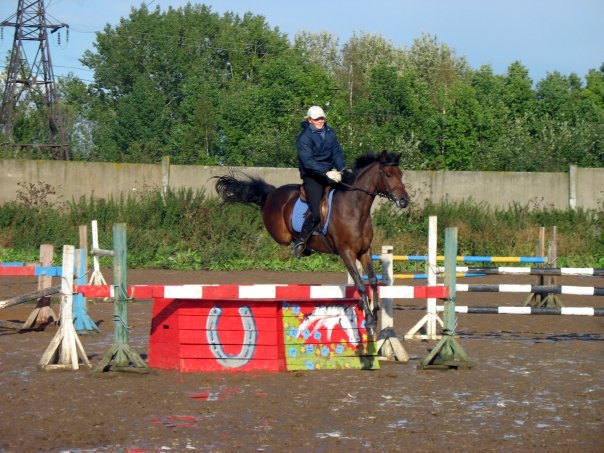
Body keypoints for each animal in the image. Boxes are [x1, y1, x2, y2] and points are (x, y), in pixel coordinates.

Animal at [214, 150, 410, 330]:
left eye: (401, 174)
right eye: (388, 174)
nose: (404, 201)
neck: (355, 208)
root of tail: (272, 192)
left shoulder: (364, 251)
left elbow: (374, 281)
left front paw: (375, 313)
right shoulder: (346, 253)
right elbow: (361, 284)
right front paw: (369, 319)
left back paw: (304, 247)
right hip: (280, 234)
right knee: (279, 232)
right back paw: (295, 244)